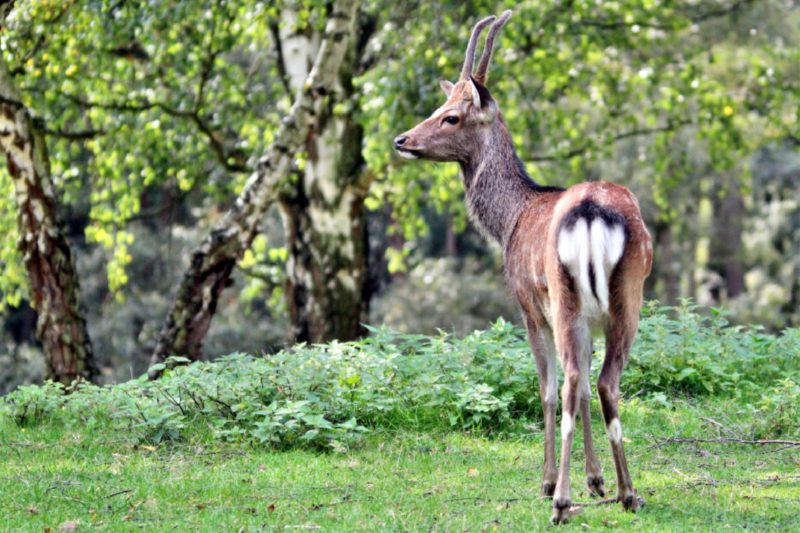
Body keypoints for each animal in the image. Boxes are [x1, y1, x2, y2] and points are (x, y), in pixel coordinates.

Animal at [392, 9, 648, 524]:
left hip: (563, 296)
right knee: (601, 382)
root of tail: (592, 210)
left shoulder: (528, 308)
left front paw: (549, 481)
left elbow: (547, 389)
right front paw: (595, 480)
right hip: (623, 296)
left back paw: (566, 499)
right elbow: (581, 388)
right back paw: (623, 491)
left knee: (571, 384)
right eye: (439, 104)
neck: (509, 220)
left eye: (451, 115)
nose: (402, 139)